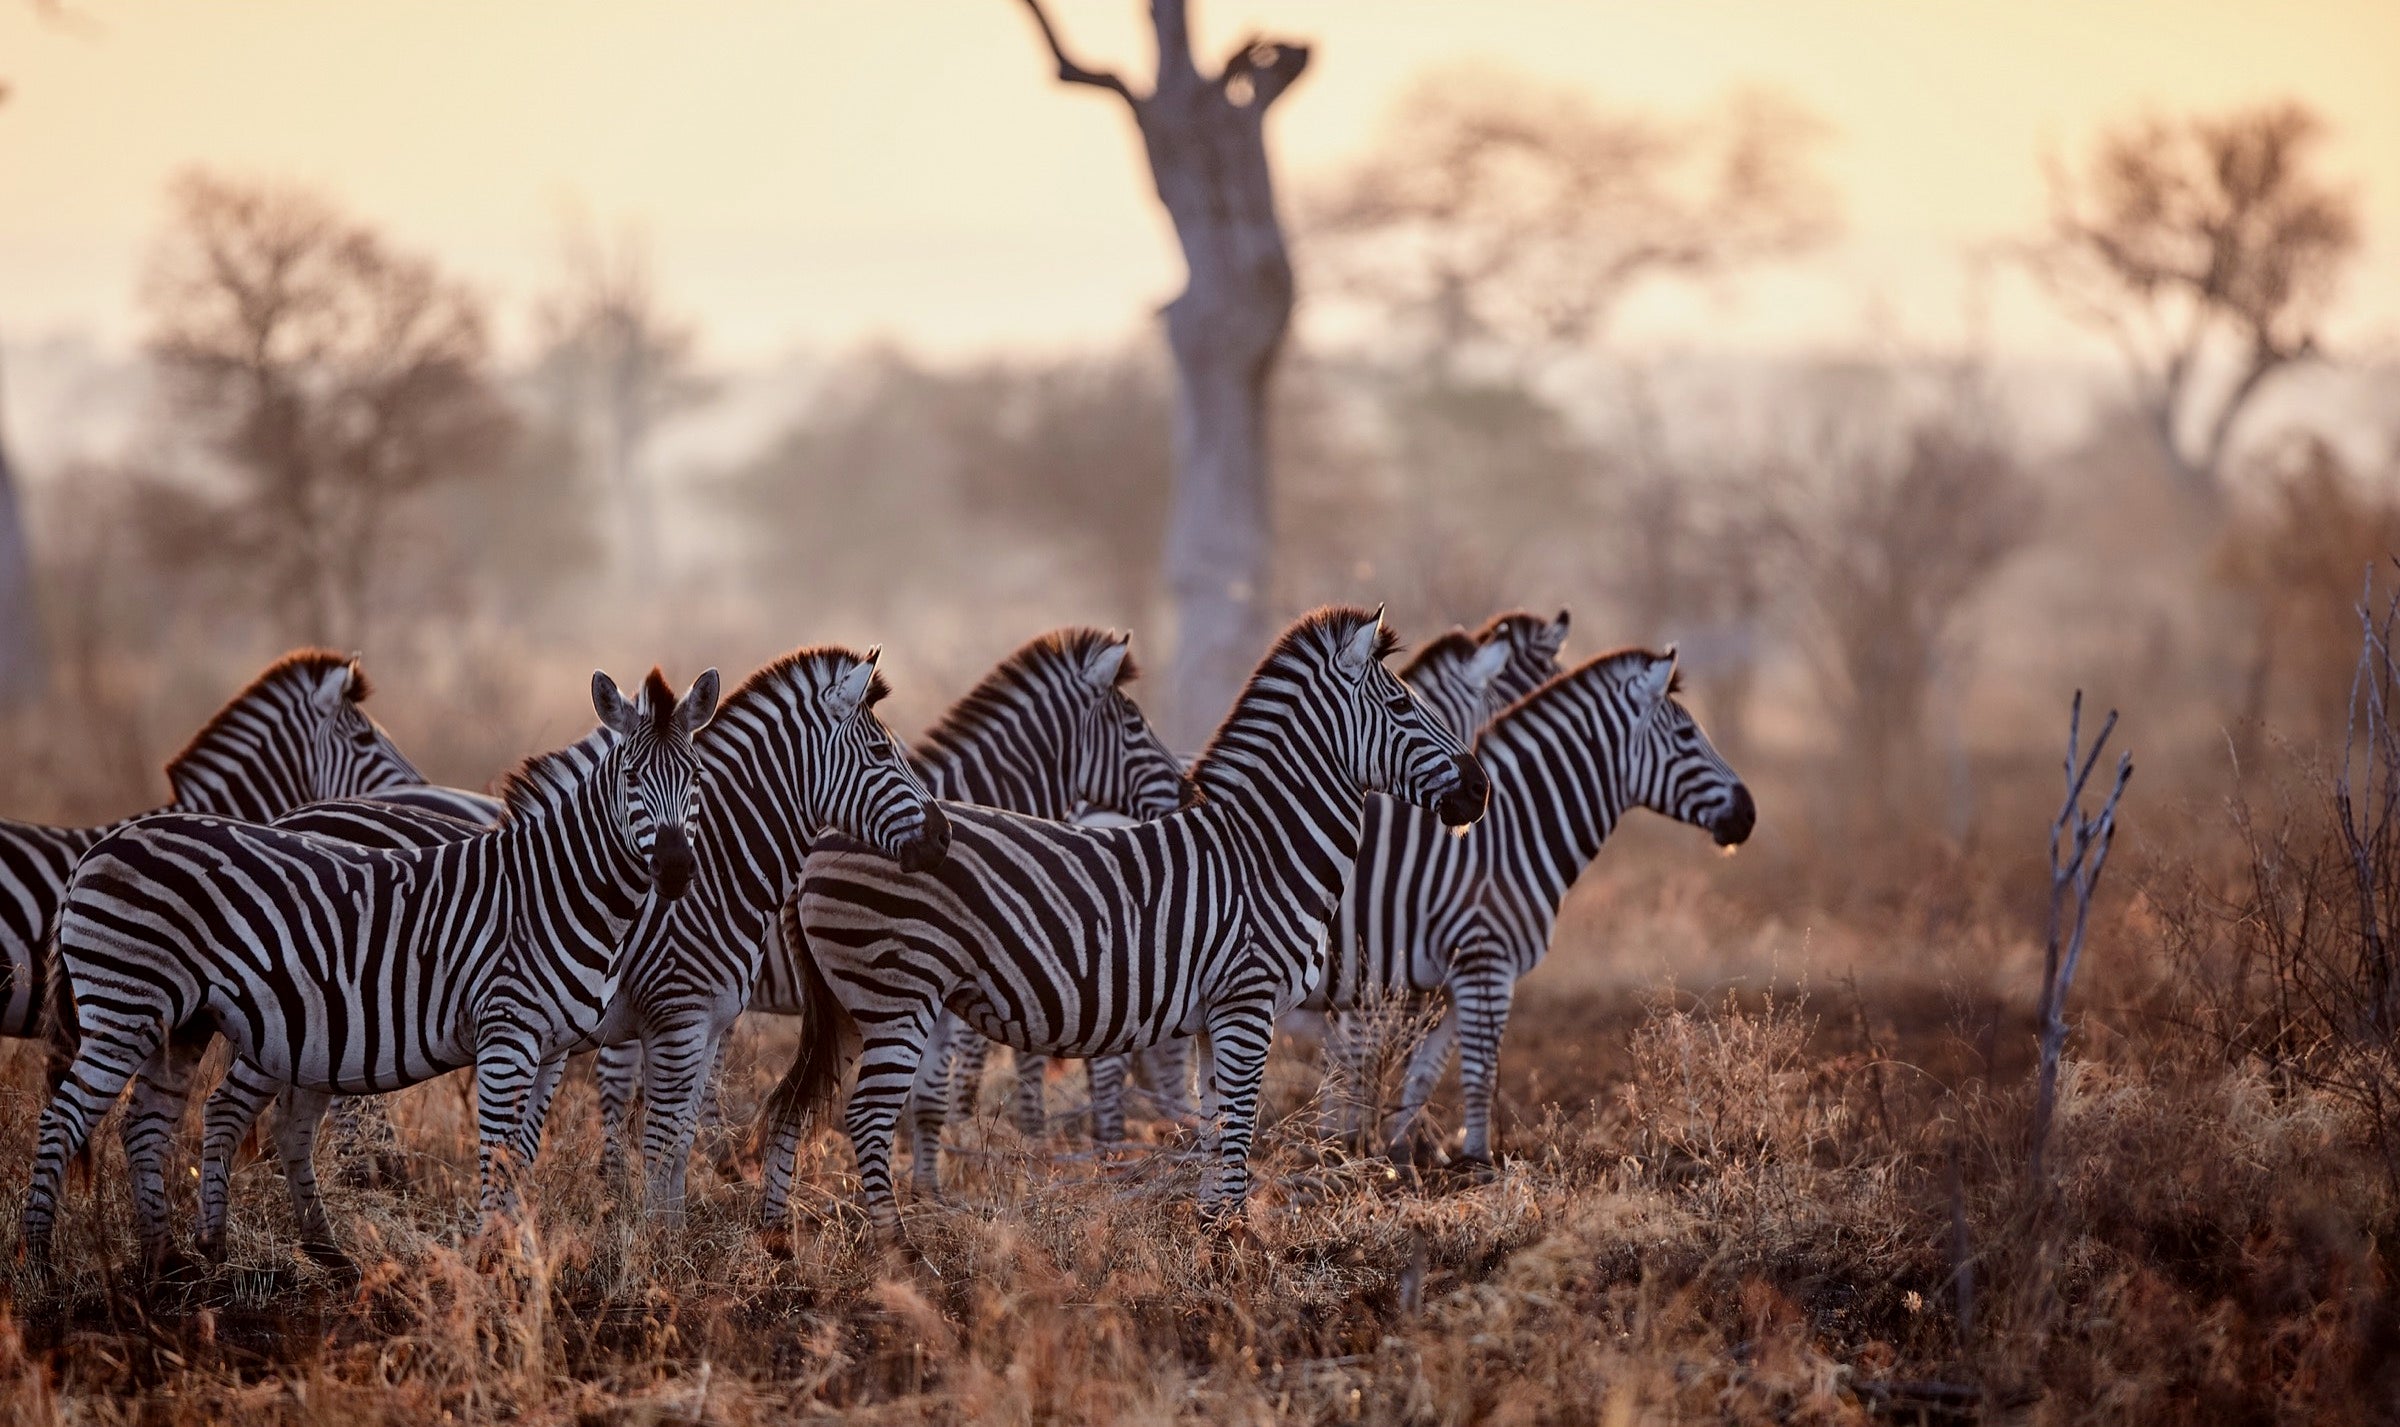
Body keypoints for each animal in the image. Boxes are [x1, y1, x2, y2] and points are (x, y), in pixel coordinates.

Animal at [175, 646, 954, 1255]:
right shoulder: (674, 1016)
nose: (944, 837)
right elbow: (662, 1138)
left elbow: (673, 1136)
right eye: (882, 752)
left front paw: (657, 1234)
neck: (716, 862)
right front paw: (659, 1247)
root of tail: (285, 817)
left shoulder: (704, 1023)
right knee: (243, 1104)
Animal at [760, 605, 1491, 1234]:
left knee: (793, 1105)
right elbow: (1239, 1125)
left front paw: (1211, 1230)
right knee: (865, 1116)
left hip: (848, 1006)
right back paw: (898, 1248)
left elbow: (1214, 1122)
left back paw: (777, 1234)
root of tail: (819, 841)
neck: (1262, 851)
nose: (1480, 789)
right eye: (1402, 706)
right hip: (897, 994)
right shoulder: (1248, 1002)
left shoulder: (1215, 1014)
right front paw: (1238, 1240)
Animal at [1310, 646, 1755, 1165]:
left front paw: (1405, 1154)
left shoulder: (1447, 978)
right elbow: (1476, 1074)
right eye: (1686, 736)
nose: (1748, 814)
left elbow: (1423, 1072)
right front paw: (1476, 1162)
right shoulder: (1483, 963)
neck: (1507, 836)